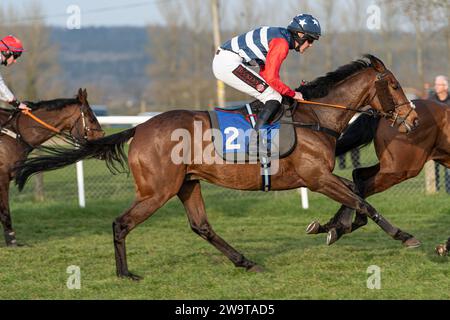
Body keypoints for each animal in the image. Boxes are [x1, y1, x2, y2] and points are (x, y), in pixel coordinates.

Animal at [0, 89, 103, 246]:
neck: (15, 133)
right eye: (91, 118)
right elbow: (5, 211)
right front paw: (12, 241)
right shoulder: (3, 178)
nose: (102, 140)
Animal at [14, 54, 418, 278]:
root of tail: (139, 128)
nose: (412, 118)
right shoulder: (316, 177)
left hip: (187, 183)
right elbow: (362, 201)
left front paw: (330, 227)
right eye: (396, 86)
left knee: (201, 226)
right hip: (156, 191)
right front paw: (403, 236)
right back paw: (125, 273)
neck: (315, 117)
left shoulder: (320, 177)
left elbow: (356, 198)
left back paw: (246, 262)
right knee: (121, 223)